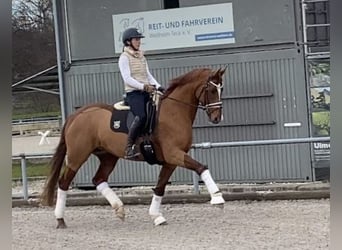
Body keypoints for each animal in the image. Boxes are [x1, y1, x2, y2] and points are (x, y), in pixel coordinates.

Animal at [40, 67, 227, 228]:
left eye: (221, 89)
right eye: (211, 90)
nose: (217, 118)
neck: (174, 113)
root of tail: (77, 115)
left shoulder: (171, 161)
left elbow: (160, 187)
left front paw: (156, 216)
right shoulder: (174, 154)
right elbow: (201, 167)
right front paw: (217, 198)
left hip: (108, 156)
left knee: (99, 179)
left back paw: (119, 209)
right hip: (77, 156)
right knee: (64, 183)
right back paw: (60, 219)